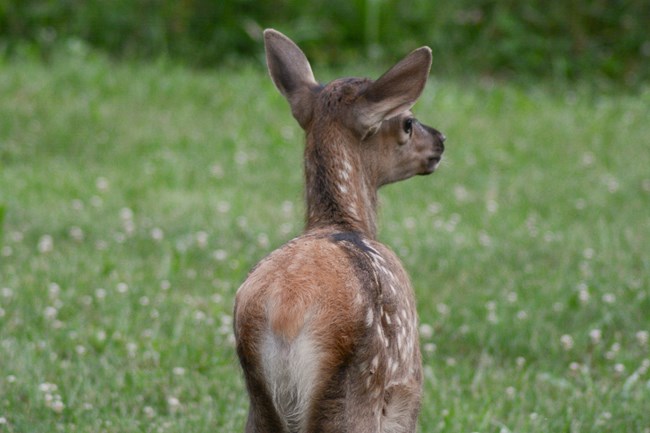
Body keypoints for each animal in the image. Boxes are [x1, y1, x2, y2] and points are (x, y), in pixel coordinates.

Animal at [234, 29, 445, 433]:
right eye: (407, 122)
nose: (441, 141)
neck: (341, 221)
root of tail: (286, 315)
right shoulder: (408, 393)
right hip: (354, 394)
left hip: (260, 408)